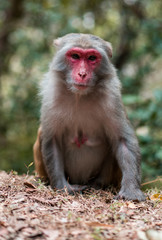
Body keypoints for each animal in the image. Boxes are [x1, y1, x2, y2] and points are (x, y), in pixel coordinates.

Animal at [33, 33, 145, 201]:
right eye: (75, 56)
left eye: (92, 58)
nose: (82, 74)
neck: (79, 96)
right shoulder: (51, 97)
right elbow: (52, 139)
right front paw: (63, 187)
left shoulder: (111, 98)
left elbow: (122, 140)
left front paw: (131, 190)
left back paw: (98, 185)